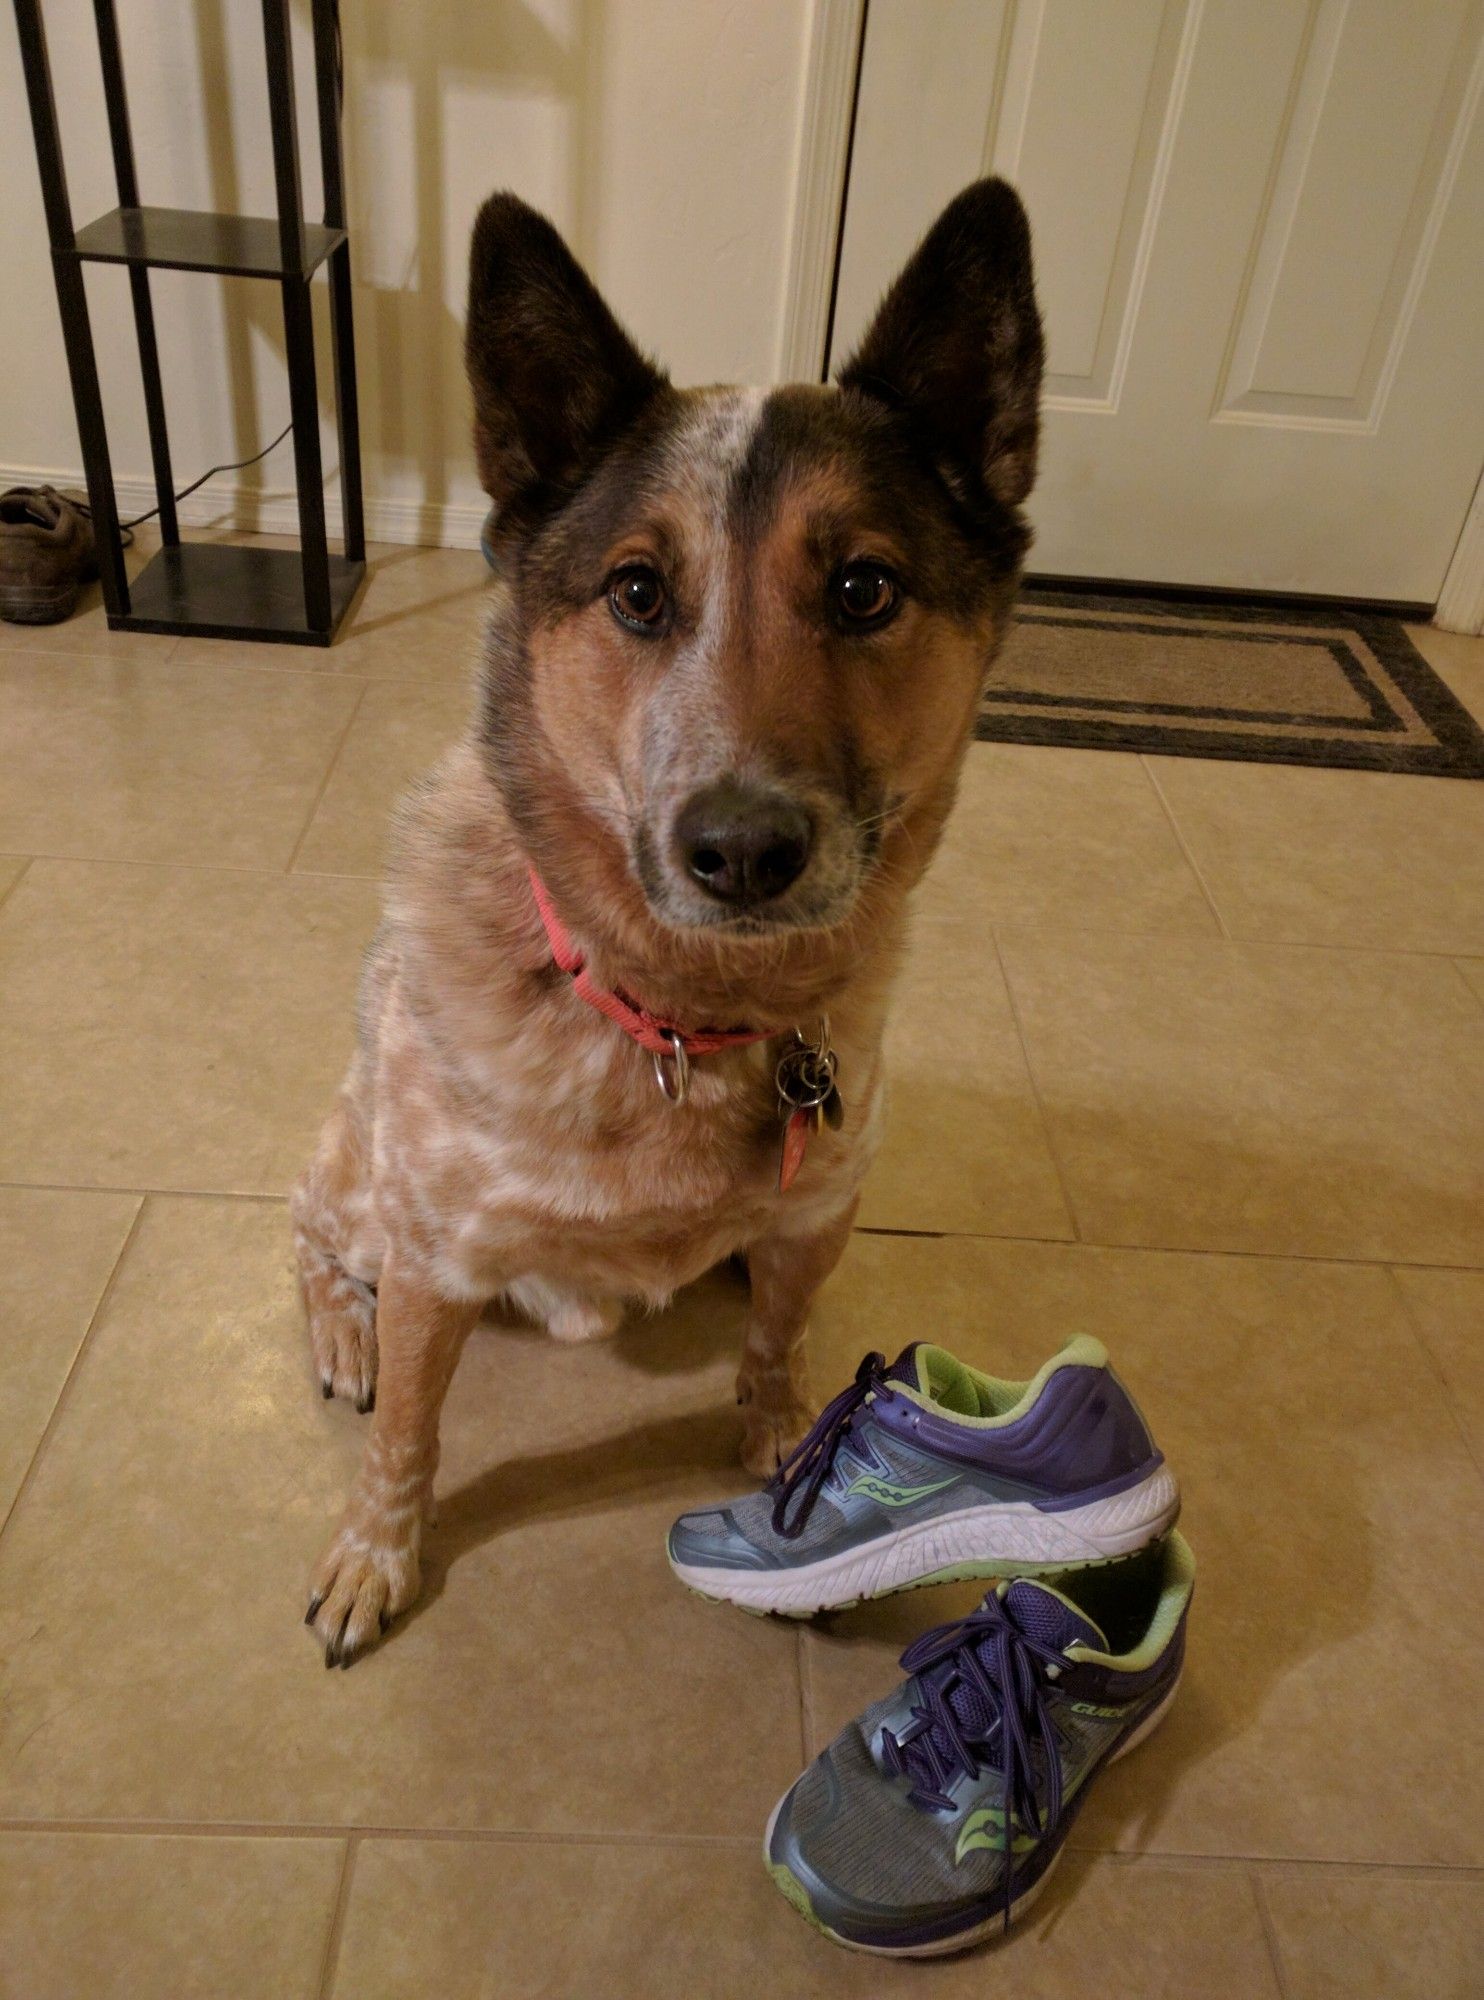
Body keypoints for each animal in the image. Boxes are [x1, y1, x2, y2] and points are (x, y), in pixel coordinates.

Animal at [294, 180, 1048, 1664]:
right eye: (637, 590)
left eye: (864, 587)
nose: (741, 847)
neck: (677, 1017)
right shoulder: (434, 1249)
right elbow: (407, 1434)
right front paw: (374, 1554)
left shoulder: (819, 1207)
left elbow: (778, 1343)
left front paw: (788, 1446)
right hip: (358, 1169)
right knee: (308, 1236)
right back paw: (342, 1338)